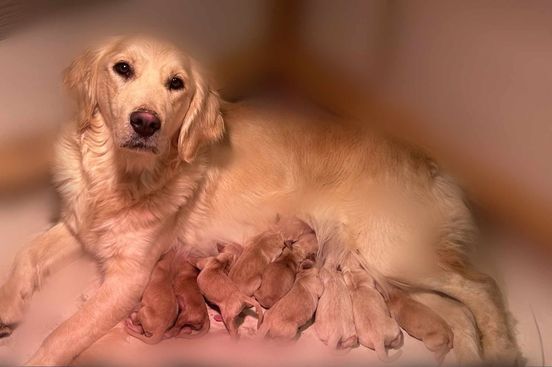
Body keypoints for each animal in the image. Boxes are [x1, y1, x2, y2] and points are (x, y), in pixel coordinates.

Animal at [0, 36, 520, 366]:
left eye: (176, 84)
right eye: (122, 68)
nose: (145, 122)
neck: (119, 177)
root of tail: (434, 163)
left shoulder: (131, 277)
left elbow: (64, 333)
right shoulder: (78, 223)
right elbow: (25, 255)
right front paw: (8, 309)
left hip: (392, 252)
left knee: (483, 287)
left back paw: (500, 350)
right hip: (383, 268)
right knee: (458, 310)